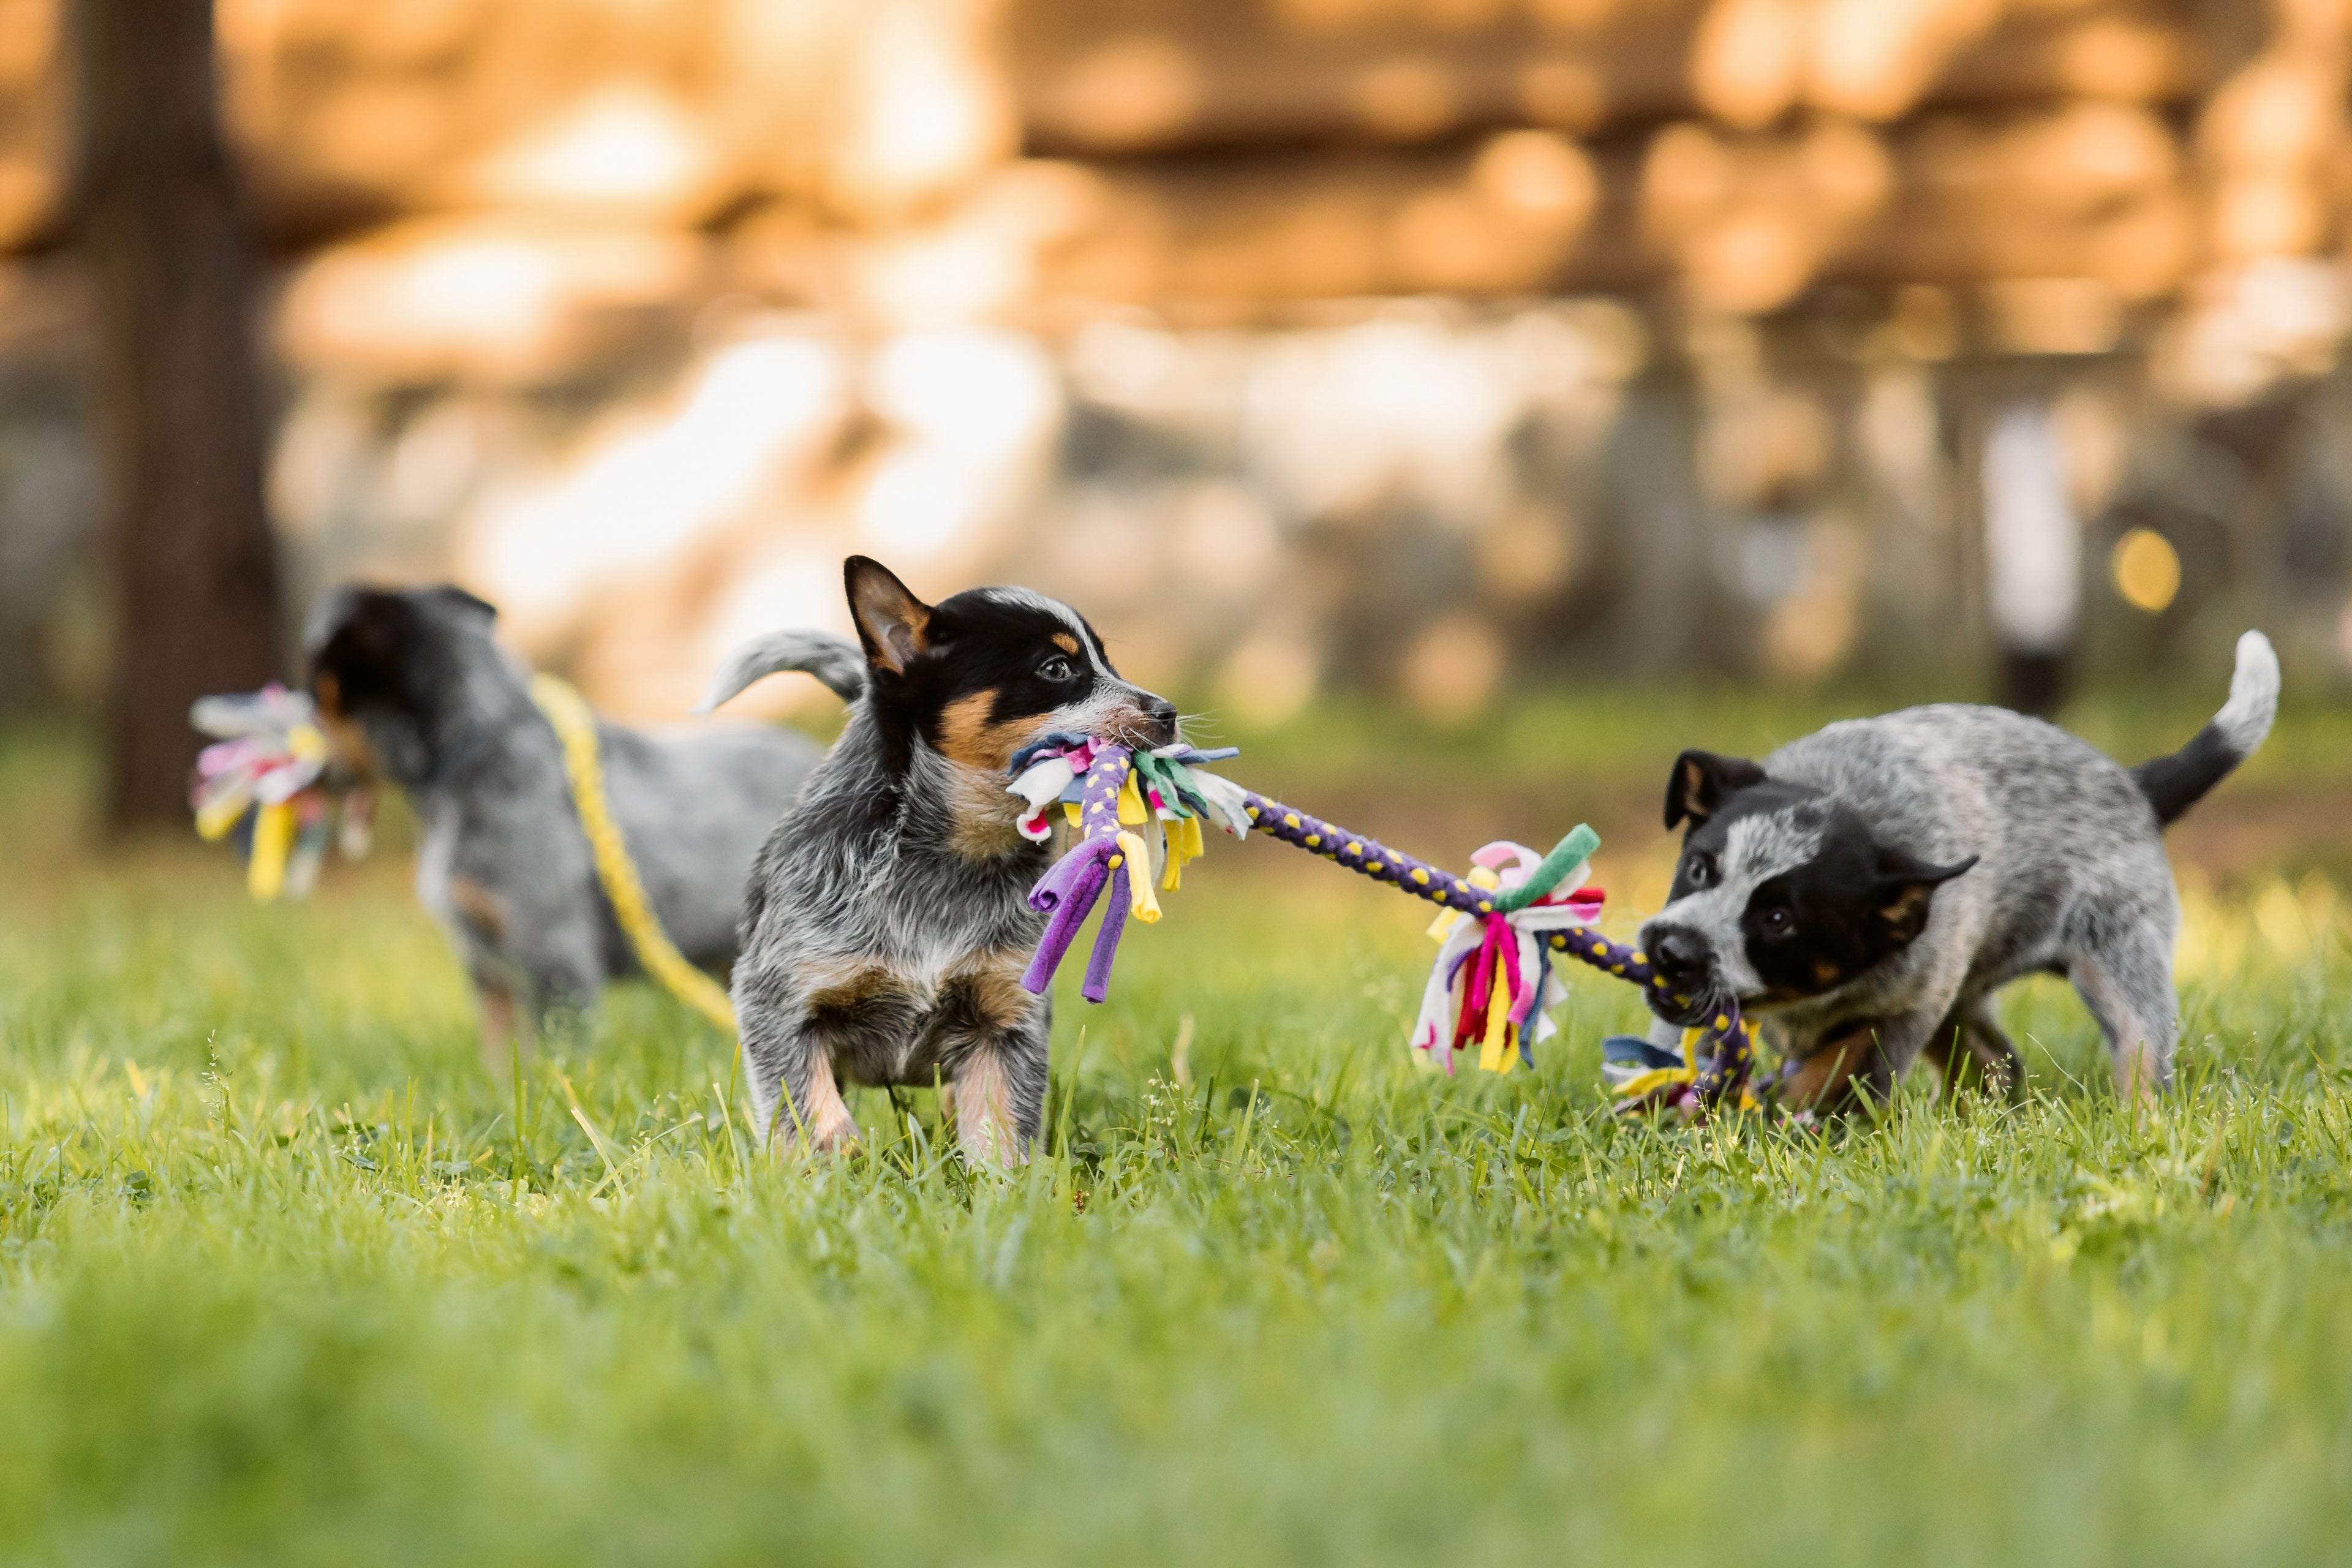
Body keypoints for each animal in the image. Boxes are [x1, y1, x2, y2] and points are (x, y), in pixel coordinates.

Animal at [306, 582, 865, 1062]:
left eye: (316, 695)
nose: (310, 768)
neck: (481, 746)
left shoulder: (553, 951)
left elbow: (559, 1049)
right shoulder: (485, 960)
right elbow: (499, 1048)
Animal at [691, 554, 1176, 1166]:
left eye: (1107, 661)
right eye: (1057, 669)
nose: (1170, 712)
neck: (949, 863)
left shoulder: (1006, 1019)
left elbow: (1001, 1131)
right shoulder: (777, 1004)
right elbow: (808, 1112)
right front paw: (825, 1168)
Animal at [1637, 630, 2277, 1109]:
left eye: (1778, 919)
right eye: (1699, 869)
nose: (1672, 950)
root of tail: (2136, 785)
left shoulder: (1908, 1004)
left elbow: (1840, 1064)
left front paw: (1796, 1111)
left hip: (2120, 966)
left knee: (2140, 1058)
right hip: (1969, 995)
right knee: (1997, 1061)